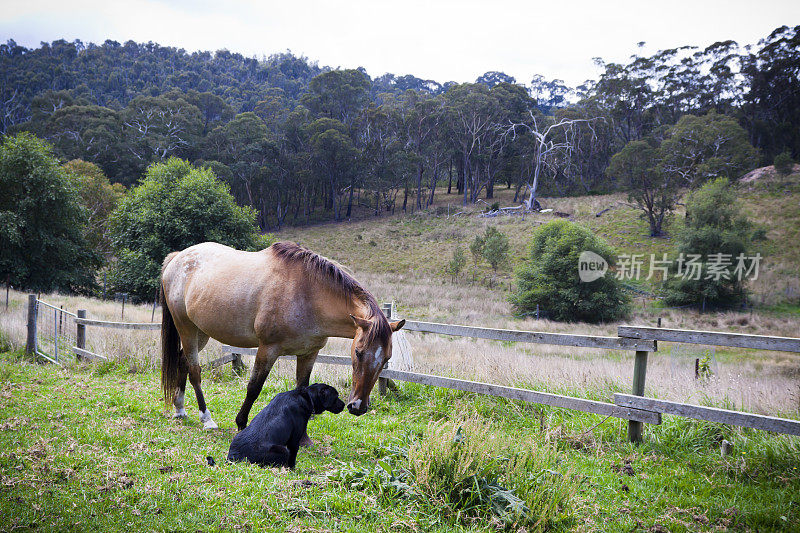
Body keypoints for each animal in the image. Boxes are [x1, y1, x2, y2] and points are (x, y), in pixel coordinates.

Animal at [160, 241, 406, 432]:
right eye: (358, 352)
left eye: (386, 359)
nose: (358, 407)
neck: (308, 295)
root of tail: (177, 257)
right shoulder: (268, 349)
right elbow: (254, 387)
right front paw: (241, 423)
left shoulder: (309, 354)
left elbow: (302, 389)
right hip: (186, 328)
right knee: (195, 371)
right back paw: (206, 418)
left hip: (200, 331)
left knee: (182, 362)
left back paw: (180, 409)